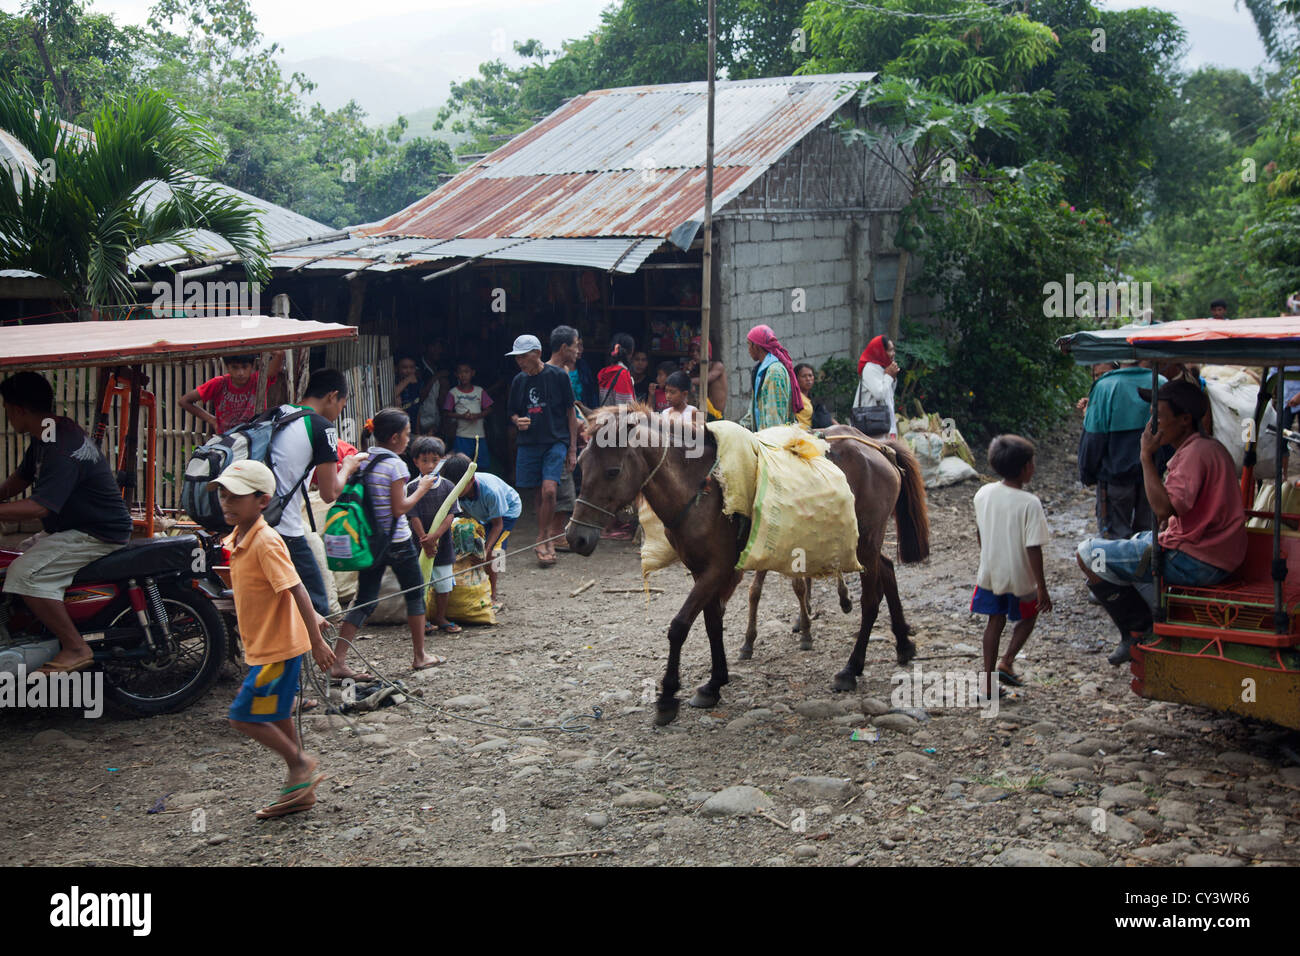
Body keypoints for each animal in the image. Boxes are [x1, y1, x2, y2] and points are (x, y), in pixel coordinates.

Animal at [564, 408, 930, 728]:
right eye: (580, 465)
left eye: (612, 471)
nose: (575, 537)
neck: (701, 486)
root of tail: (877, 448)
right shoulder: (701, 569)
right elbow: (712, 623)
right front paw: (714, 683)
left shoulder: (717, 569)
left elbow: (680, 626)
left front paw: (667, 697)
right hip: (867, 546)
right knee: (888, 571)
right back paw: (903, 644)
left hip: (866, 542)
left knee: (870, 600)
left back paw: (851, 669)